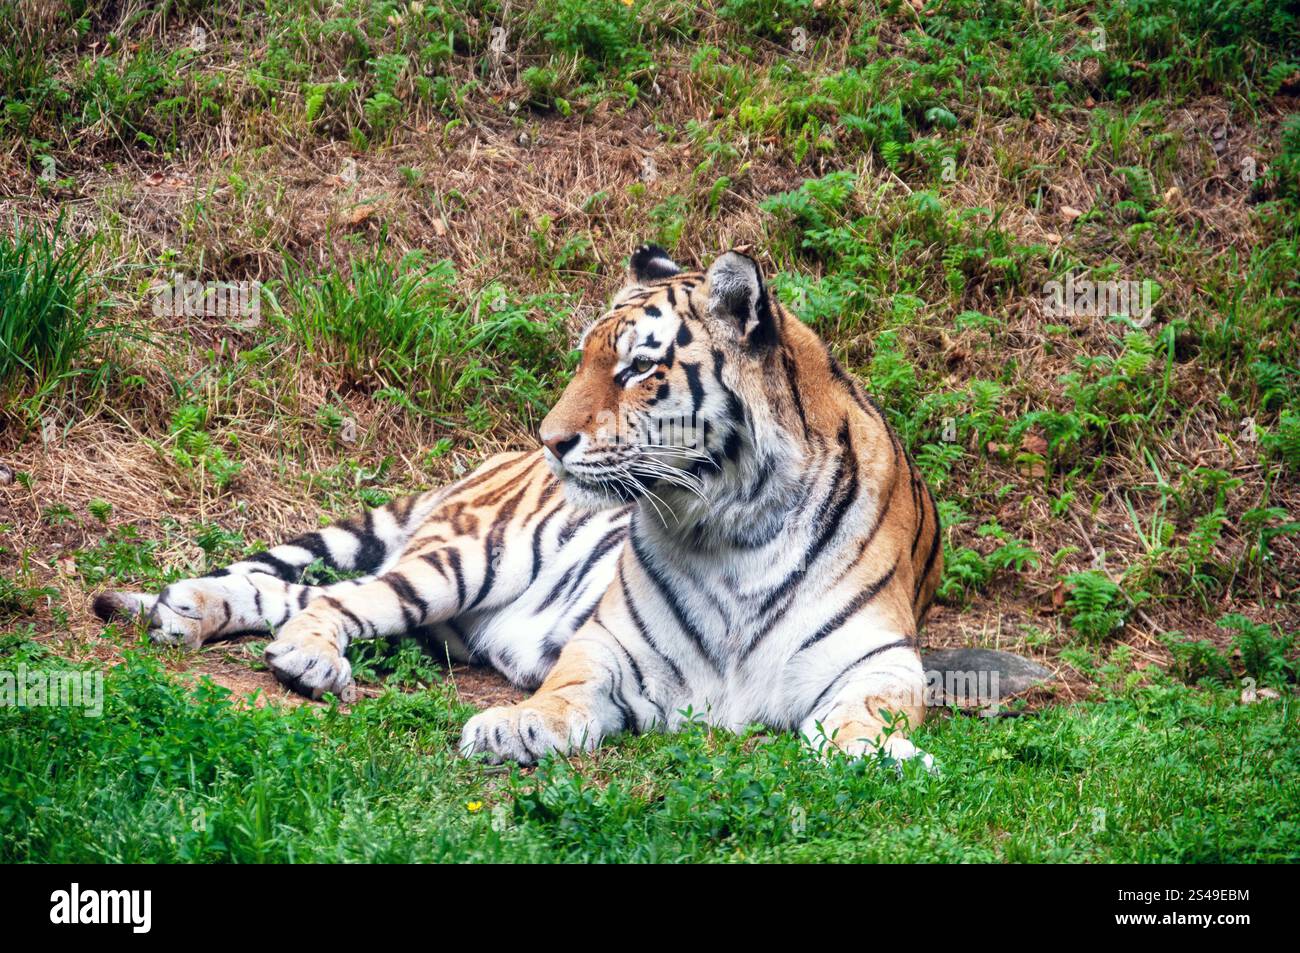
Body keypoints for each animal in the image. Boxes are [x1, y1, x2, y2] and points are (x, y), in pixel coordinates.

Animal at [94, 244, 943, 767]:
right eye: (585, 358)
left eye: (638, 368)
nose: (551, 439)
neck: (734, 525)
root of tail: (488, 463)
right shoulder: (609, 646)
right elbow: (564, 691)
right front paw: (515, 725)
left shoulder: (877, 659)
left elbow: (869, 714)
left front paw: (887, 756)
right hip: (462, 561)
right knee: (335, 598)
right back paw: (299, 656)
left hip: (440, 612)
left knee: (304, 592)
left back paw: (187, 609)